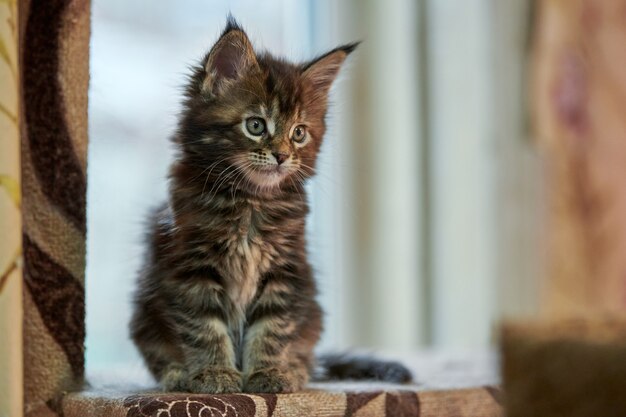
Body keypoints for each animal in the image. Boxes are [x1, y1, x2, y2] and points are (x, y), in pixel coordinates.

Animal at [130, 17, 412, 394]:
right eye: (256, 125)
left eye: (299, 133)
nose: (281, 155)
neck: (251, 201)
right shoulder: (191, 268)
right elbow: (205, 329)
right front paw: (214, 374)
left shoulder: (286, 271)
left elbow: (272, 330)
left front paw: (269, 373)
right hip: (143, 314)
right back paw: (177, 375)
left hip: (312, 312)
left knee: (308, 354)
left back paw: (294, 369)